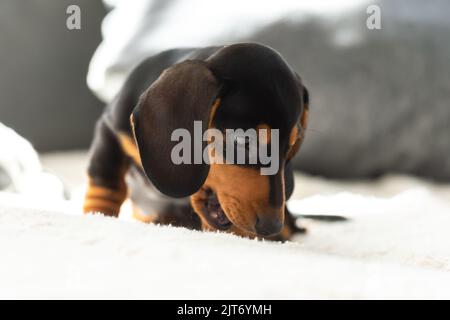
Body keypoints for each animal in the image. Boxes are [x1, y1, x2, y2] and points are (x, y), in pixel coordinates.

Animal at [83, 43, 310, 241]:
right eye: (243, 140)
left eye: (291, 147)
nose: (272, 227)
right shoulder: (110, 131)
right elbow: (106, 182)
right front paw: (98, 214)